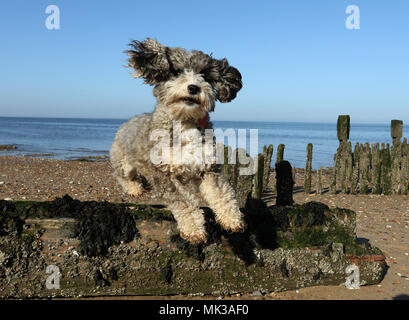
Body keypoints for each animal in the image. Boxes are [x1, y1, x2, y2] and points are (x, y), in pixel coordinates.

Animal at [110, 38, 244, 242]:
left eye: (205, 75)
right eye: (177, 72)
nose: (194, 87)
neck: (185, 122)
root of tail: (126, 123)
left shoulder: (208, 167)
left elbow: (222, 193)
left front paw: (231, 219)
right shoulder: (165, 174)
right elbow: (184, 204)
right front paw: (193, 229)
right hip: (123, 162)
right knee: (122, 176)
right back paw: (134, 188)